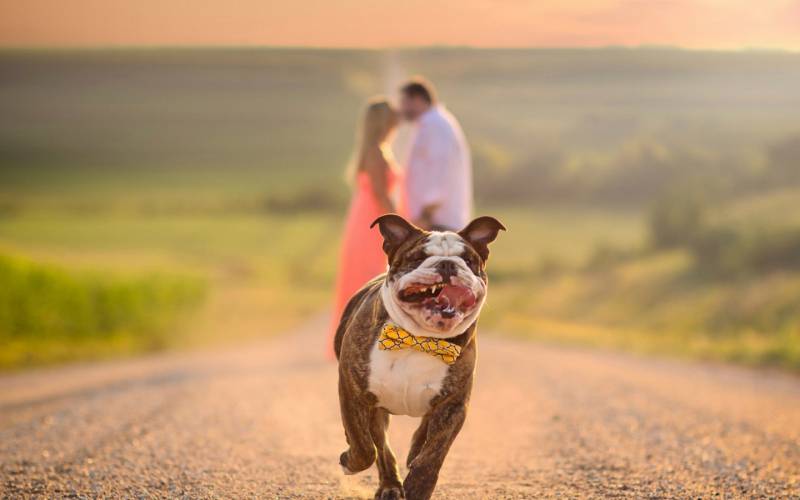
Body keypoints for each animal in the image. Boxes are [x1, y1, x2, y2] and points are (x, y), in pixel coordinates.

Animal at [334, 214, 504, 500]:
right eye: (418, 257)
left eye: (468, 261)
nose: (447, 264)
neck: (420, 339)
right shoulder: (354, 392)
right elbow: (365, 445)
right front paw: (350, 460)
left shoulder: (454, 405)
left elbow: (433, 454)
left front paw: (418, 484)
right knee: (380, 447)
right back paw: (390, 485)